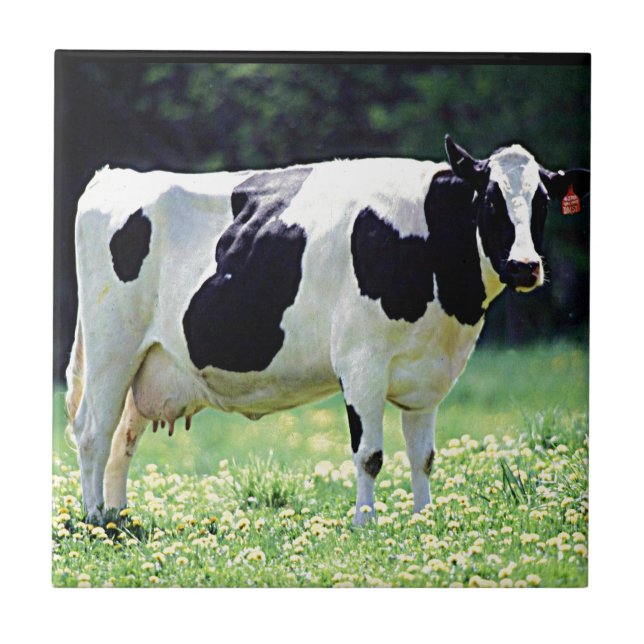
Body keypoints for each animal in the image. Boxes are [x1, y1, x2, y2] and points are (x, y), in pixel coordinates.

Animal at [65, 135, 590, 525]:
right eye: (490, 199)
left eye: (543, 202)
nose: (525, 266)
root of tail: (114, 176)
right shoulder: (361, 362)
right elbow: (370, 455)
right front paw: (365, 524)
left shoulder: (427, 375)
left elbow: (423, 456)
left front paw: (424, 520)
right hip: (112, 348)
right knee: (93, 432)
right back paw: (95, 520)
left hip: (147, 364)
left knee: (122, 440)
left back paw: (119, 517)